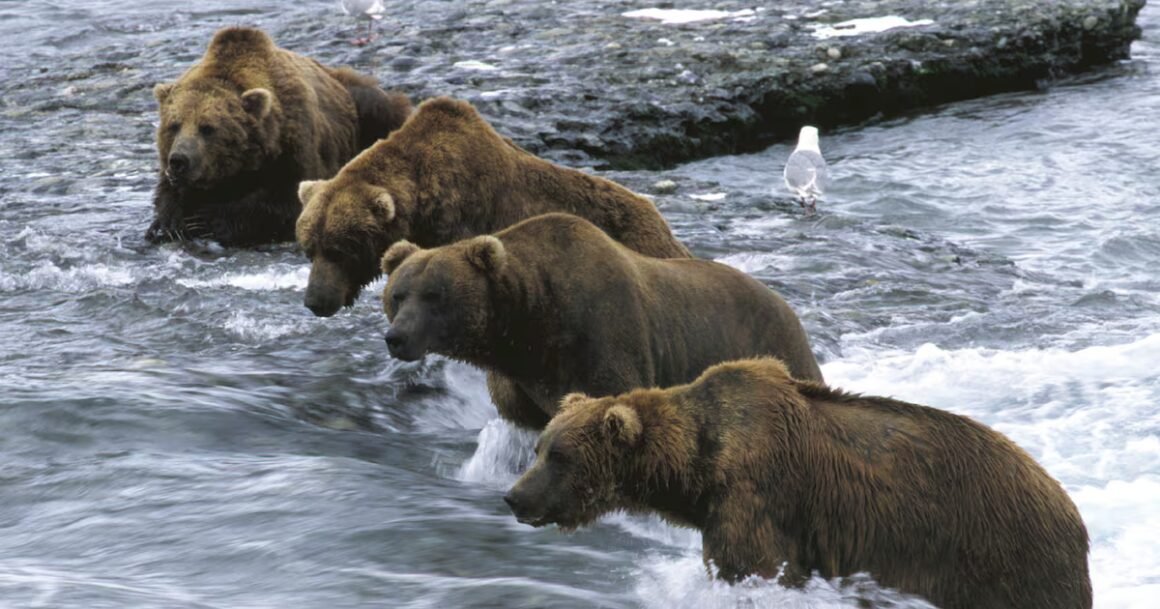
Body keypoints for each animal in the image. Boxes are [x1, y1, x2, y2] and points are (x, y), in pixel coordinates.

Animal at [146, 26, 411, 246]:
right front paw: (169, 225)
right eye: (174, 125)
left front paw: (206, 220)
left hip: (366, 107)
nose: (179, 161)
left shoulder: (294, 143)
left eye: (207, 128)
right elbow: (167, 195)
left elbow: (290, 199)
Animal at [380, 213, 823, 430]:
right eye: (397, 295)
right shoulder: (520, 379)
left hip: (771, 345)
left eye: (435, 295)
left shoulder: (602, 336)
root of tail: (787, 306)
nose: (396, 337)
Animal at [504, 357, 1092, 609]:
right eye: (539, 448)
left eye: (560, 455)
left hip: (1000, 554)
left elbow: (749, 567)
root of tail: (1069, 506)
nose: (514, 496)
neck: (697, 467)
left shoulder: (756, 497)